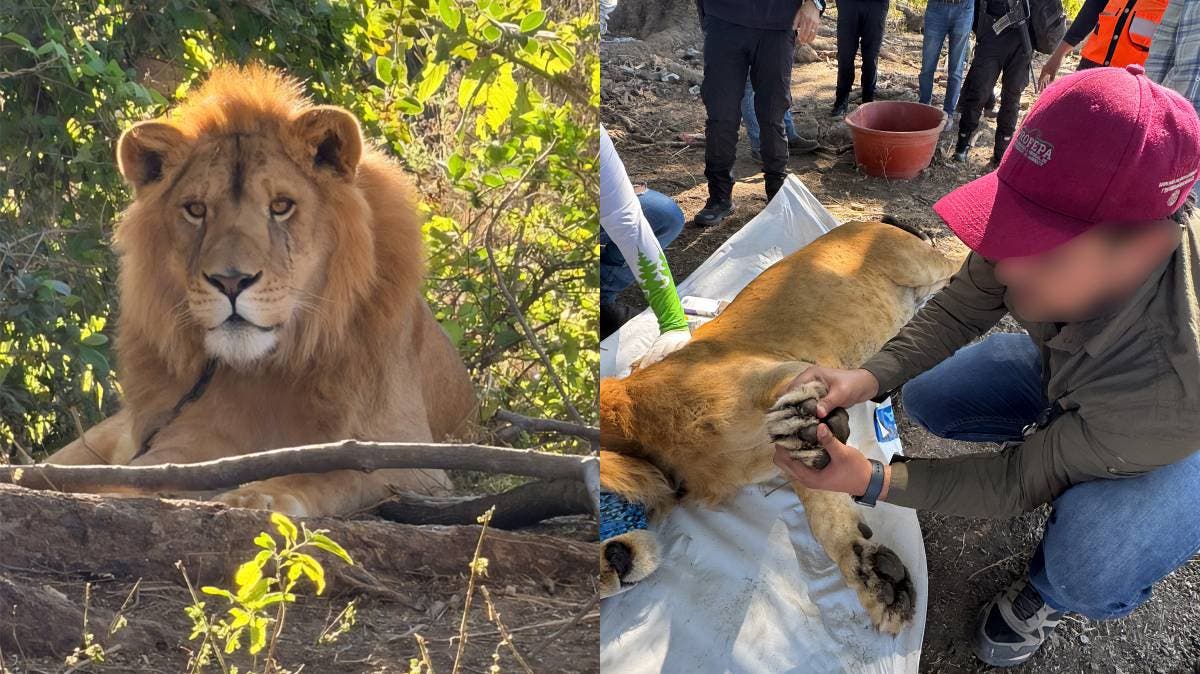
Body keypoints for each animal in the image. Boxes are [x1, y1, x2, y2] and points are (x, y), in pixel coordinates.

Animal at [47, 64, 477, 517]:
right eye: (196, 209)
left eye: (281, 206)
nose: (231, 281)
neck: (267, 369)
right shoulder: (183, 442)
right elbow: (139, 476)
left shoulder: (416, 463)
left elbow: (337, 471)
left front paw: (257, 494)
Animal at [599, 218, 964, 634]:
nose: (613, 570)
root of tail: (868, 220)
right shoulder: (793, 468)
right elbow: (828, 517)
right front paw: (875, 576)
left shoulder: (786, 368)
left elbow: (790, 395)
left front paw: (798, 418)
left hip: (918, 264)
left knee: (964, 263)